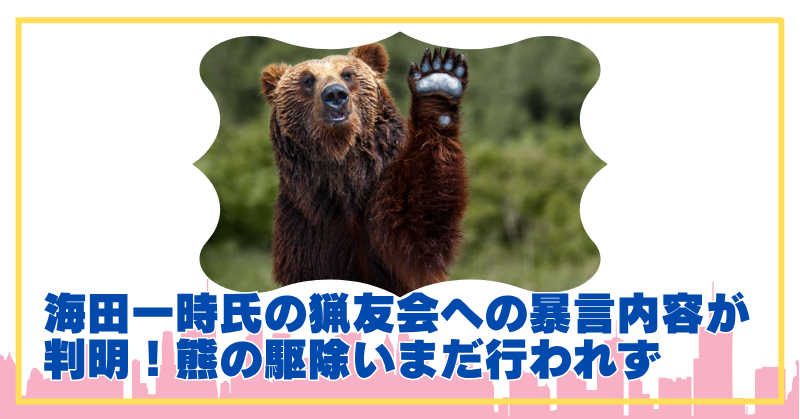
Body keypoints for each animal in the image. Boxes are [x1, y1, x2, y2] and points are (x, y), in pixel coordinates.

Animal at [260, 43, 469, 295]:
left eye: (347, 74)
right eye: (308, 80)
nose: (335, 95)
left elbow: (415, 226)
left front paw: (438, 81)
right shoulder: (301, 228)